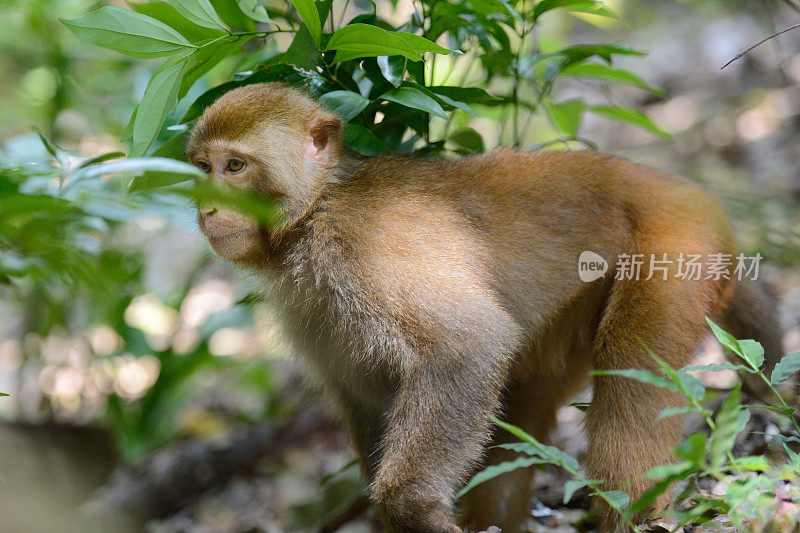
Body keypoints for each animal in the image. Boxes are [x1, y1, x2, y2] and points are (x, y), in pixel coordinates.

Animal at [184, 81, 784, 528]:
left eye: (235, 167)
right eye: (204, 169)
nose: (206, 209)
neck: (313, 212)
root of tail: (679, 187)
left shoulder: (362, 246)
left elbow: (468, 343)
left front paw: (412, 507)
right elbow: (365, 396)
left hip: (678, 246)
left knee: (629, 375)